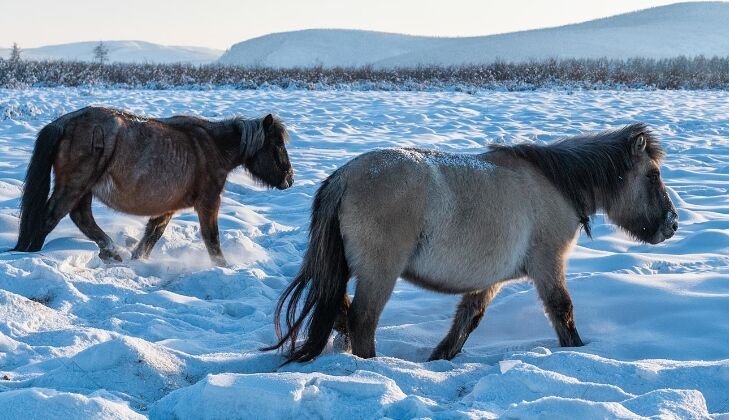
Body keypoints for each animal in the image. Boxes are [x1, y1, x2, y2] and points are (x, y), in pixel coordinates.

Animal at [11, 107, 292, 266]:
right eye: (277, 145)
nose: (289, 178)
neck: (212, 145)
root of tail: (65, 122)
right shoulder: (209, 202)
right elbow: (211, 237)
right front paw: (224, 266)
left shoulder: (168, 207)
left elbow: (152, 235)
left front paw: (138, 260)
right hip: (75, 184)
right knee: (51, 217)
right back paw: (32, 254)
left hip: (83, 188)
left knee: (82, 218)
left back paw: (111, 252)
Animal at [266, 123, 676, 362]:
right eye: (653, 175)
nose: (671, 224)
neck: (556, 184)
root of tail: (345, 176)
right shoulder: (548, 265)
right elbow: (563, 312)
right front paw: (577, 351)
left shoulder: (489, 280)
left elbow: (467, 320)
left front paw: (440, 358)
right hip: (379, 273)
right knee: (362, 319)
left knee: (341, 312)